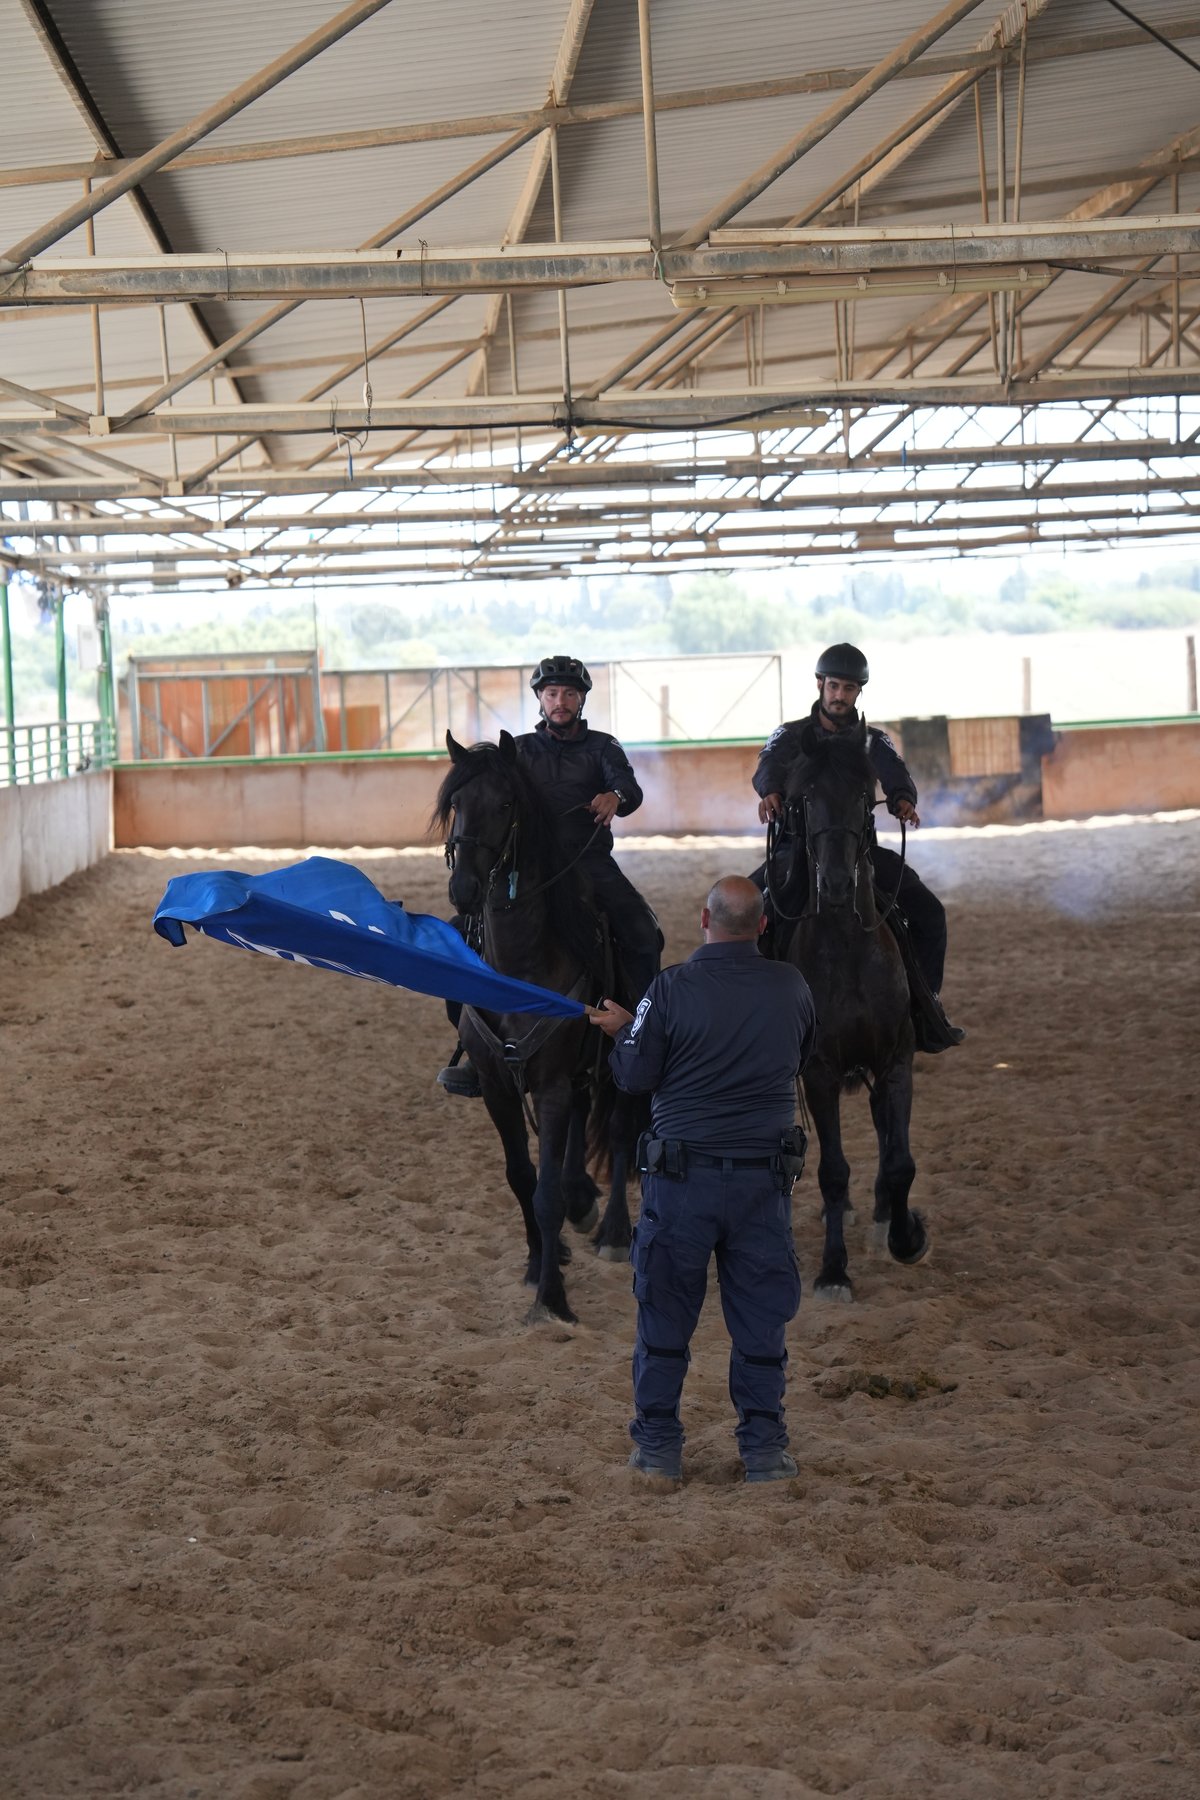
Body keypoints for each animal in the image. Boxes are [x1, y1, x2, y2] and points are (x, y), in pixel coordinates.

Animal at [431, 730, 636, 1324]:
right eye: (455, 803)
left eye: (505, 804)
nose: (465, 888)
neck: (523, 965)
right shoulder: (500, 1086)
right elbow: (521, 1179)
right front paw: (535, 1263)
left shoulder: (549, 1085)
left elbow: (545, 1193)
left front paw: (552, 1299)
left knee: (618, 1131)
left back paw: (613, 1231)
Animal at [773, 723, 935, 1303]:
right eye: (804, 798)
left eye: (866, 795)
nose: (839, 884)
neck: (846, 948)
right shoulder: (819, 1072)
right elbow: (833, 1171)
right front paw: (834, 1271)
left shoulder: (896, 1060)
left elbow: (900, 1160)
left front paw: (907, 1236)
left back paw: (887, 1213)